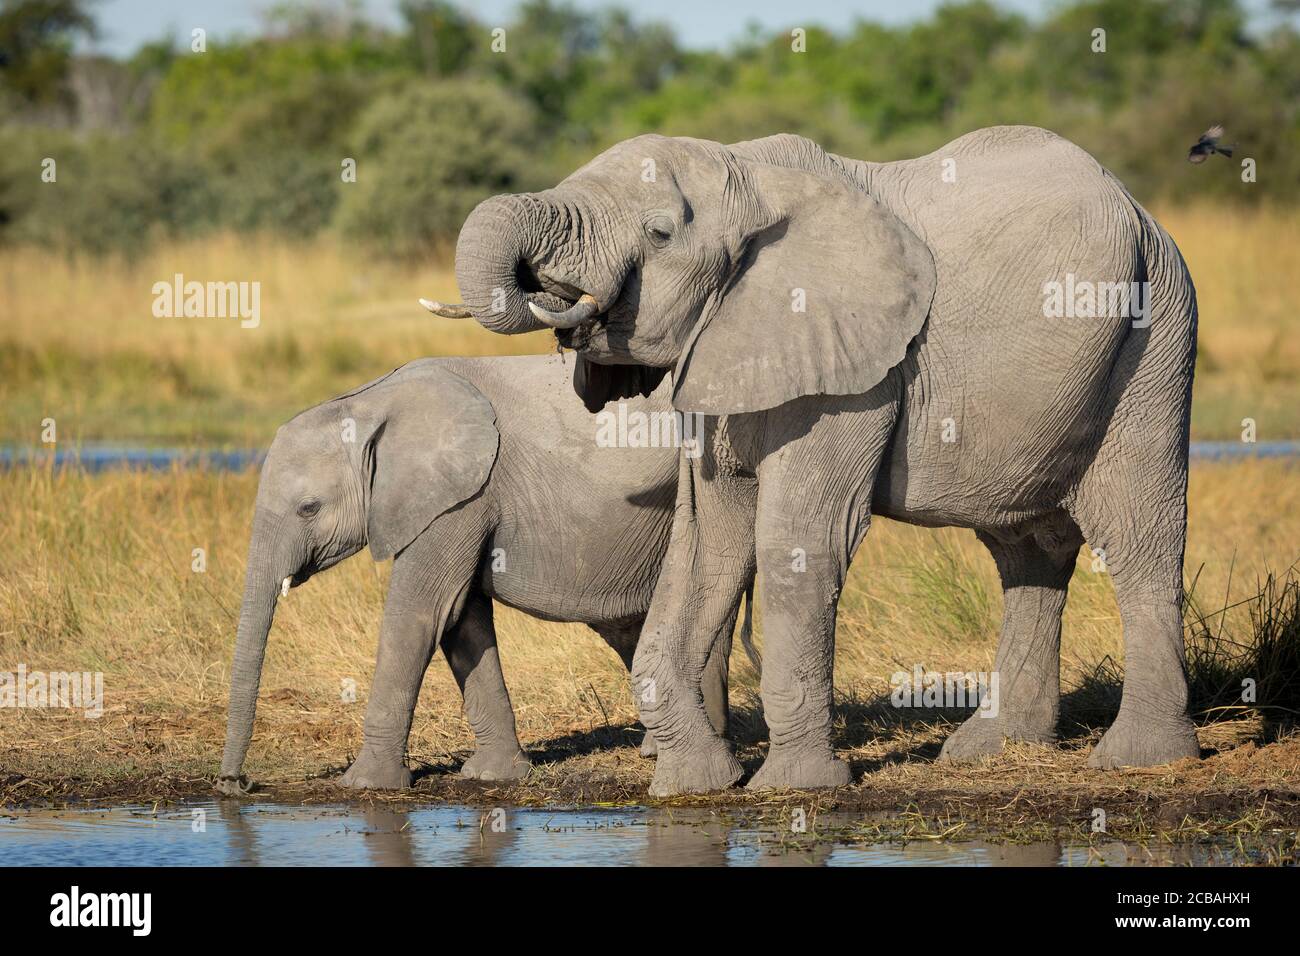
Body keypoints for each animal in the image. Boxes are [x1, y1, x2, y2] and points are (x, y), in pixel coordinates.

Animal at [218, 356, 738, 796]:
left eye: (309, 508)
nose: (236, 785)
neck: (368, 403)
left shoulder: (460, 496)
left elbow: (421, 614)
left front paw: (365, 785)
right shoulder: (456, 501)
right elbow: (461, 619)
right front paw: (494, 776)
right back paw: (662, 750)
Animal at [444, 127, 1196, 796]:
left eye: (659, 233)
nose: (550, 291)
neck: (749, 178)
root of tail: (1139, 209)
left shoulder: (850, 369)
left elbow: (800, 540)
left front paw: (794, 786)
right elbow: (705, 543)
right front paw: (698, 782)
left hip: (1155, 333)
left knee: (1137, 532)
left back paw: (1141, 758)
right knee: (1026, 548)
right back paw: (989, 749)